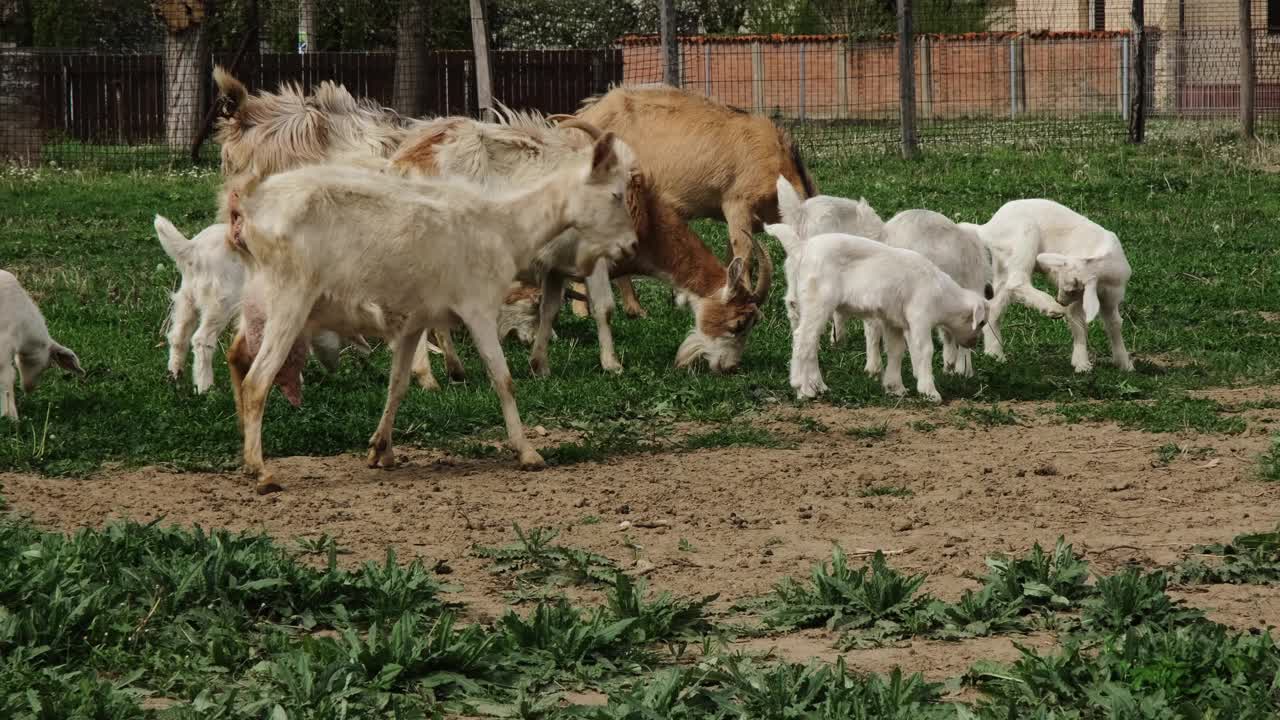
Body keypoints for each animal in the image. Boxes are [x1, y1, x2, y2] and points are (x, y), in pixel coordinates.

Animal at [153, 212, 371, 394]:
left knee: (178, 334)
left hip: (187, 296)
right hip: (221, 301)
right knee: (201, 339)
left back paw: (175, 375)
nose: (333, 369)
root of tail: (193, 249)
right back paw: (205, 388)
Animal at [227, 130, 637, 491]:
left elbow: (397, 385)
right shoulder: (478, 308)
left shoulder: (413, 322)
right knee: (257, 381)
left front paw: (381, 449)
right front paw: (527, 452)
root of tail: (246, 211)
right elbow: (503, 379)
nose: (632, 245)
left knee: (237, 358)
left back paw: (244, 451)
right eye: (616, 195)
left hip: (257, 301)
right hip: (289, 301)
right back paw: (262, 471)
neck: (504, 225)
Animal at [762, 222, 993, 399]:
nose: (974, 342)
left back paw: (818, 386)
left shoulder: (894, 321)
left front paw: (895, 387)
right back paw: (803, 389)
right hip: (818, 301)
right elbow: (925, 350)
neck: (941, 292)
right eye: (981, 322)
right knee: (804, 339)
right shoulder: (919, 317)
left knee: (808, 341)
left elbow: (896, 350)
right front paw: (929, 391)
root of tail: (801, 248)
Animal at [962, 198, 1136, 371]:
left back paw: (995, 353)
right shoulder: (1079, 301)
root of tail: (987, 228)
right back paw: (1052, 307)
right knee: (1017, 280)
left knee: (997, 304)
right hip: (1024, 234)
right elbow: (1078, 323)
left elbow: (1114, 324)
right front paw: (1082, 364)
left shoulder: (1110, 298)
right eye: (1068, 287)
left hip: (1003, 262)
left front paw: (1124, 363)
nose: (1061, 301)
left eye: (1073, 290)